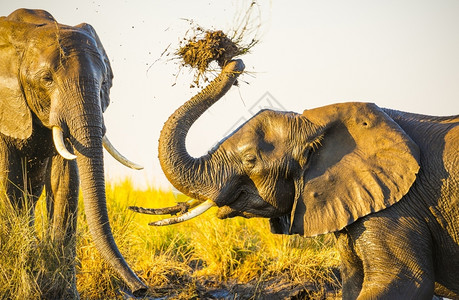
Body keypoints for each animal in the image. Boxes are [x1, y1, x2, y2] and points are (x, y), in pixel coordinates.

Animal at [0, 8, 146, 298]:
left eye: (103, 82)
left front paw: (61, 293)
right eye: (47, 79)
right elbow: (6, 183)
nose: (141, 289)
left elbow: (65, 181)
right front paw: (22, 289)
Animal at [131, 59, 458, 300]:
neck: (315, 125)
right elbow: (353, 285)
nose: (235, 61)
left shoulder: (398, 207)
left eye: (250, 160)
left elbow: (405, 282)